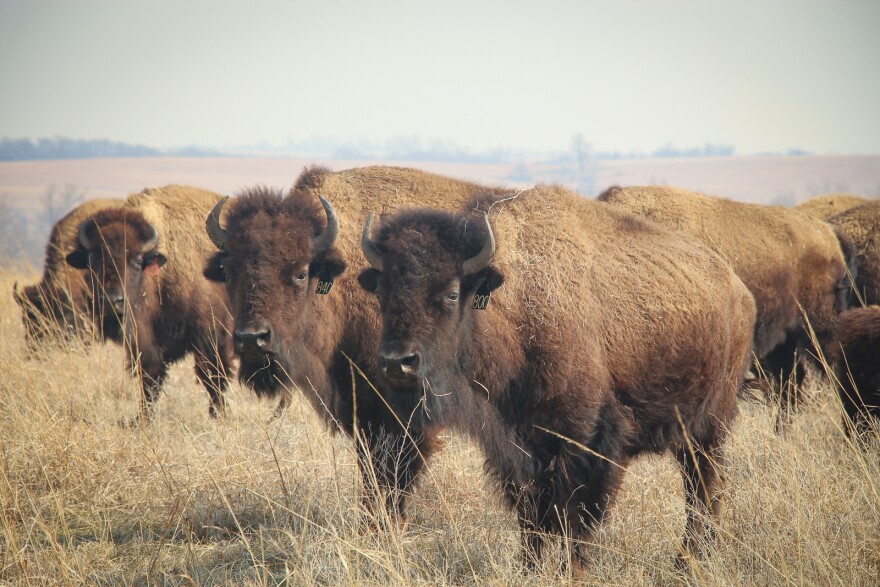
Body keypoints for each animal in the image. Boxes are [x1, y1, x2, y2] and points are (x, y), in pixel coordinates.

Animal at [66, 185, 234, 421]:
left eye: (137, 261)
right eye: (92, 261)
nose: (111, 300)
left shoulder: (210, 335)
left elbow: (212, 376)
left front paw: (218, 416)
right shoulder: (144, 339)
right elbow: (149, 377)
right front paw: (142, 418)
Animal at [203, 165, 507, 521]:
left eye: (301, 272)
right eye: (229, 271)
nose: (252, 338)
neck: (343, 282)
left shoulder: (401, 417)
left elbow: (393, 475)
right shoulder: (362, 411)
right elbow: (371, 471)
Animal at [357, 186, 756, 570]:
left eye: (452, 293)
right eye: (381, 291)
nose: (397, 362)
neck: (517, 306)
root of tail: (740, 291)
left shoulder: (586, 439)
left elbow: (575, 516)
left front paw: (573, 571)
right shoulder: (517, 443)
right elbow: (531, 515)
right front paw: (529, 568)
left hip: (709, 425)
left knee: (704, 487)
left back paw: (689, 561)